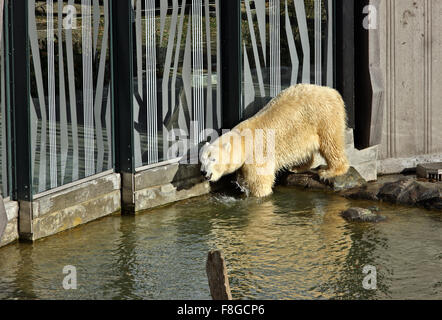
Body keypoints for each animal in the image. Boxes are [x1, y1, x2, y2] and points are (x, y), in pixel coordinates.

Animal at [200, 84, 348, 196]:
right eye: (202, 160)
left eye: (213, 159)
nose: (204, 173)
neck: (244, 140)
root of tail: (333, 92)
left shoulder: (258, 156)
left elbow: (260, 180)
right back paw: (296, 167)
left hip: (323, 117)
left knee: (331, 143)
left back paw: (329, 171)